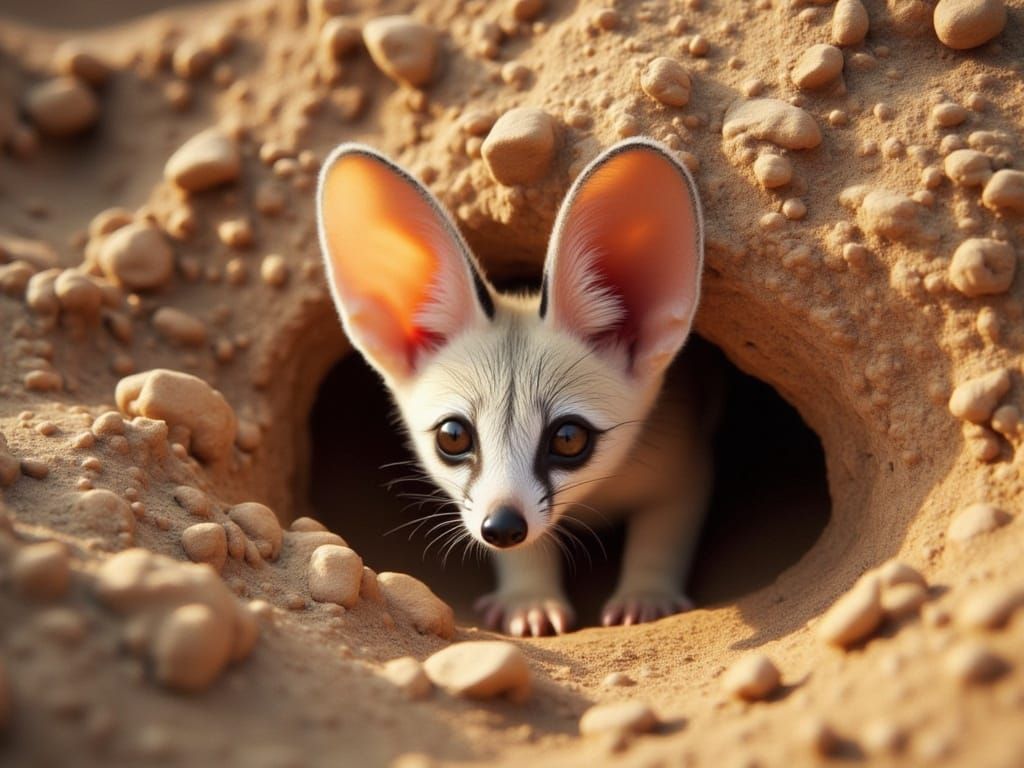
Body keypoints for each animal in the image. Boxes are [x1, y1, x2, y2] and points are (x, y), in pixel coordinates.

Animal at [316, 137, 711, 637]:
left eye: (569, 438)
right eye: (452, 436)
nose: (502, 526)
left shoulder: (683, 473)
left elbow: (661, 538)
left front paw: (646, 597)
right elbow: (528, 553)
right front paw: (530, 600)